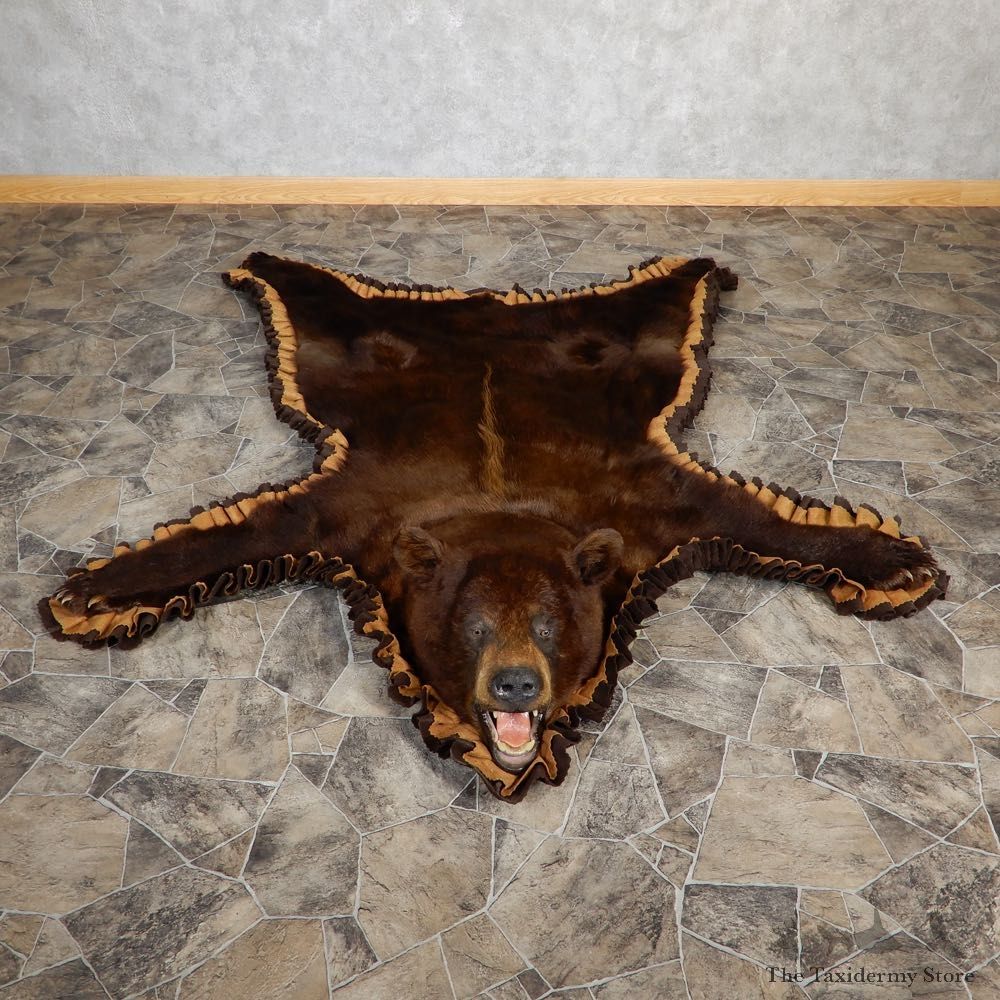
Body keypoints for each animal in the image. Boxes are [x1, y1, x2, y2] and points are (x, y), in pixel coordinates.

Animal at [47, 252, 946, 800]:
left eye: (549, 626)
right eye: (472, 626)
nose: (515, 685)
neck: (502, 510)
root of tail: (487, 304)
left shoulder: (653, 503)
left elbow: (751, 512)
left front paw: (891, 556)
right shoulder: (348, 514)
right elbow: (245, 530)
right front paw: (99, 590)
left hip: (617, 340)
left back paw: (693, 267)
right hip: (352, 339)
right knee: (321, 297)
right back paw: (270, 266)